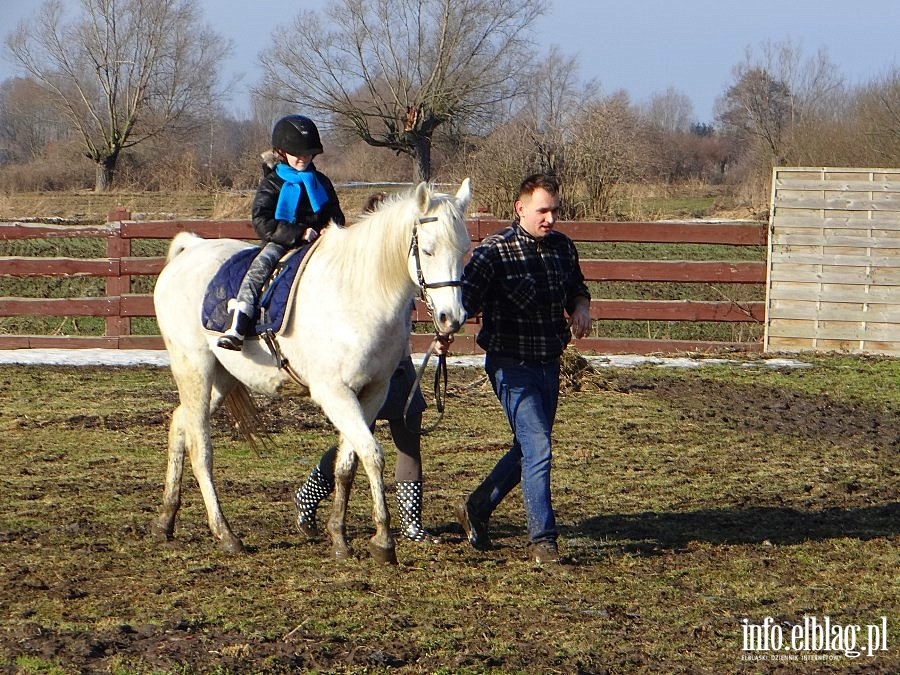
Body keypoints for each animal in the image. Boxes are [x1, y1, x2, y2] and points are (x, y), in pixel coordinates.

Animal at [151, 177, 474, 564]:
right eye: (427, 250)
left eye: (464, 250)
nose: (451, 319)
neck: (359, 295)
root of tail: (190, 251)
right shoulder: (335, 394)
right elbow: (372, 456)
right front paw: (383, 541)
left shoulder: (371, 393)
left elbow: (346, 465)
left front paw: (339, 537)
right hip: (194, 369)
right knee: (201, 448)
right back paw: (225, 533)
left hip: (221, 378)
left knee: (179, 424)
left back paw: (167, 520)